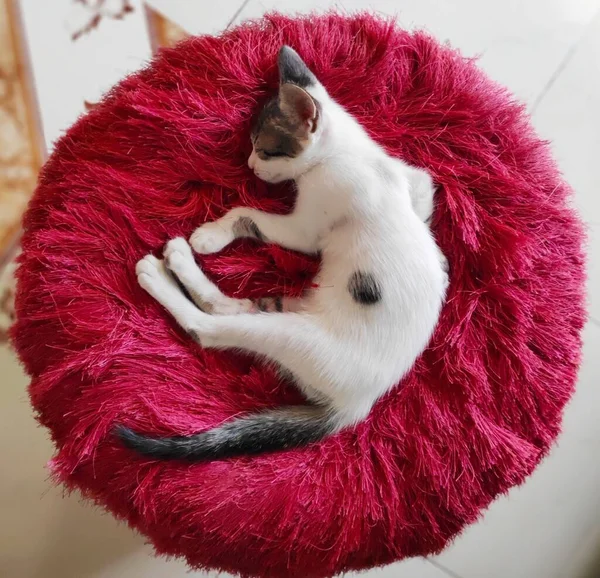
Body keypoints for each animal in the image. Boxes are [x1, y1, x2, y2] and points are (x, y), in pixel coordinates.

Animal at [117, 46, 448, 460]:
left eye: (264, 148)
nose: (249, 165)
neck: (352, 152)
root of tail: (358, 406)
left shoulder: (307, 227)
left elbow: (247, 212)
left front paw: (211, 234)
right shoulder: (419, 181)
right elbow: (428, 215)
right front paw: (442, 260)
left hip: (296, 339)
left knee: (208, 328)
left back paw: (163, 271)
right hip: (284, 314)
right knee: (235, 308)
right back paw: (179, 265)